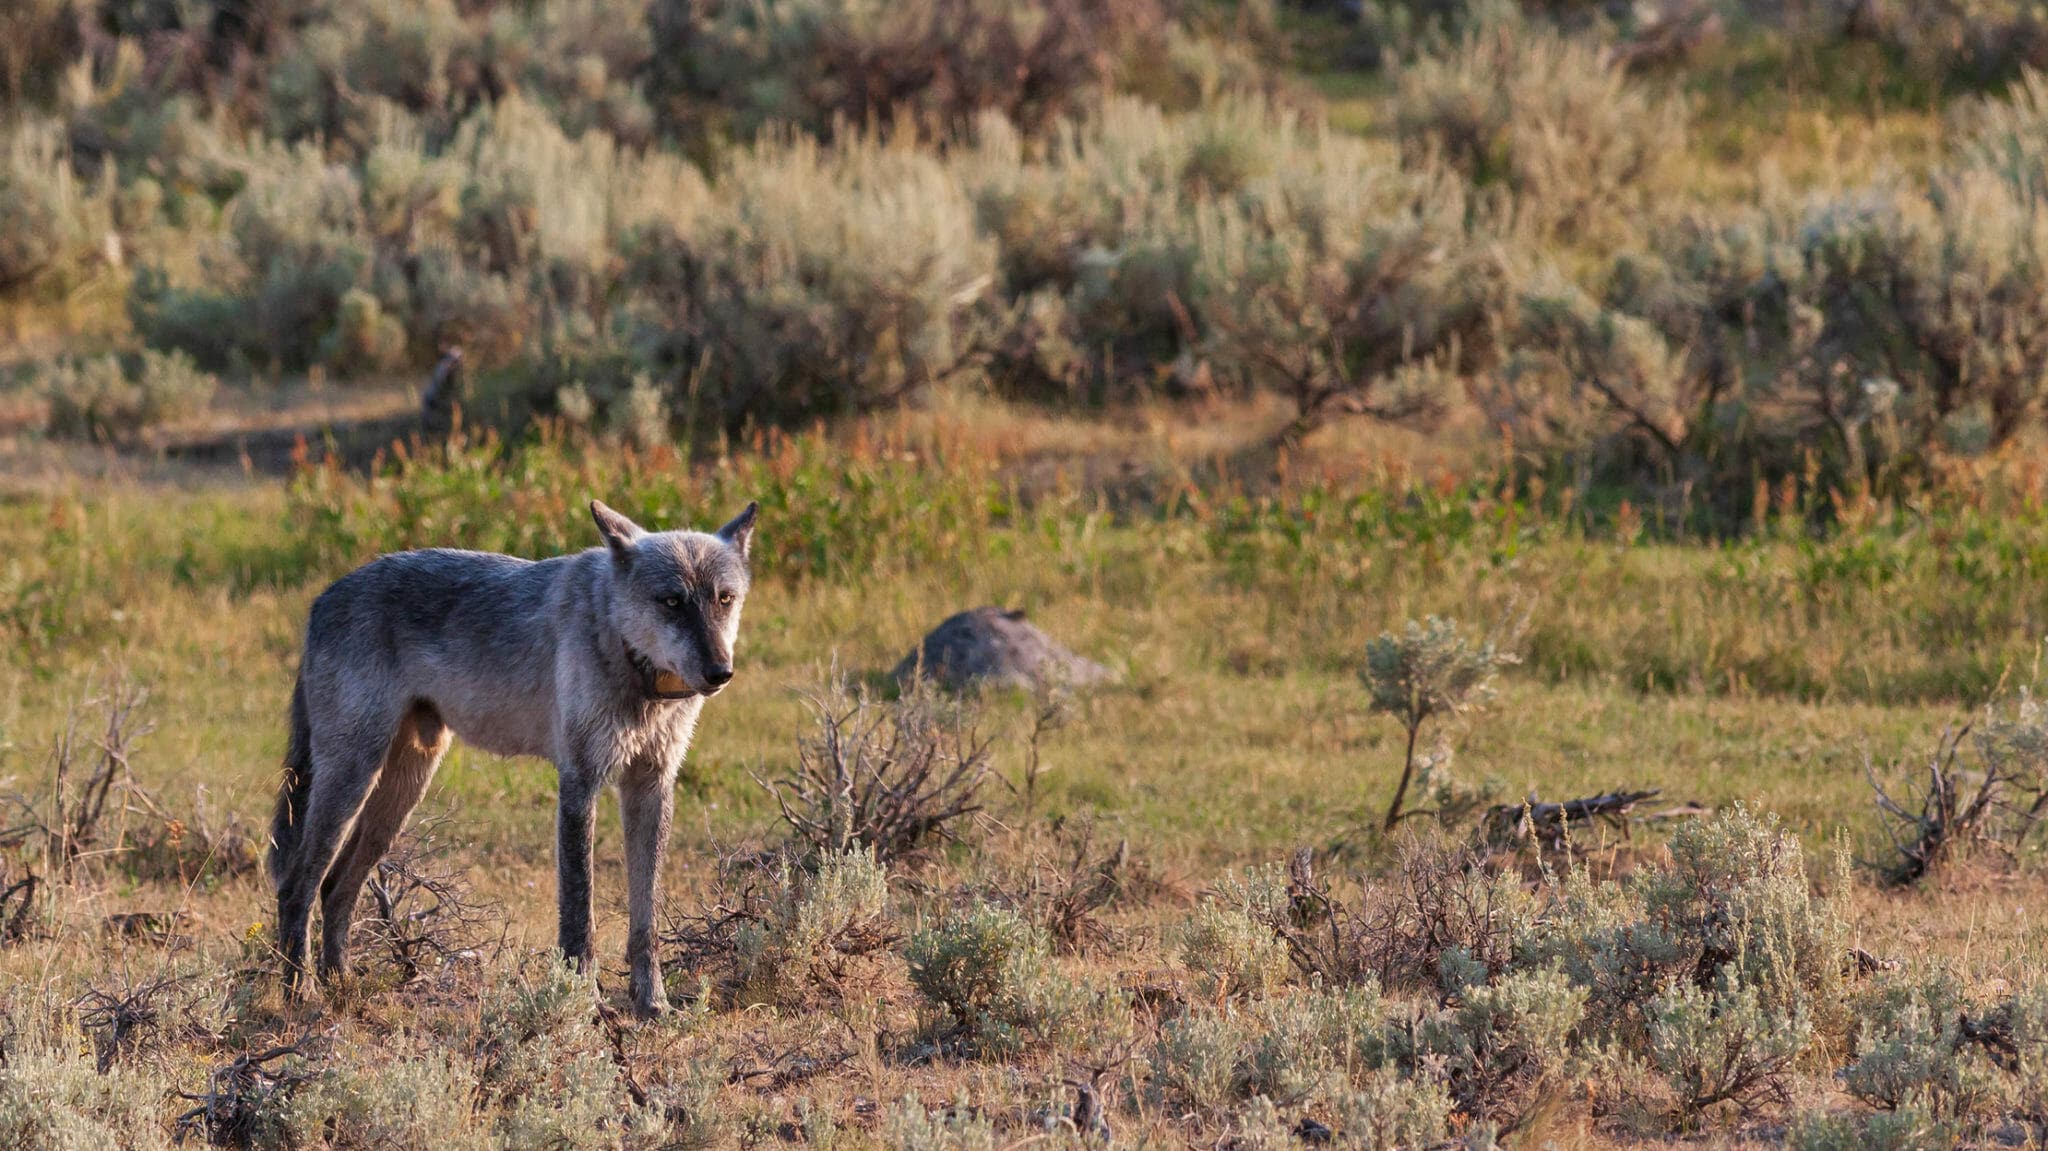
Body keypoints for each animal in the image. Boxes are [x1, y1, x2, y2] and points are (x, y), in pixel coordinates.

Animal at [268, 497, 757, 1007]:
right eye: (672, 601)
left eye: (724, 599)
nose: (720, 671)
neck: (620, 646)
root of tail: (319, 601)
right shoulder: (579, 783)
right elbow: (579, 913)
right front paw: (583, 1002)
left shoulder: (651, 786)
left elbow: (646, 921)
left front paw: (652, 1004)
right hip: (354, 780)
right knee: (296, 886)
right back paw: (300, 995)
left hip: (398, 795)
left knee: (333, 888)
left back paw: (340, 983)